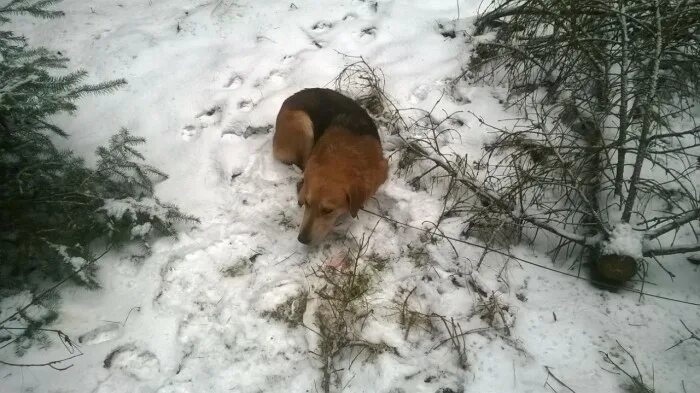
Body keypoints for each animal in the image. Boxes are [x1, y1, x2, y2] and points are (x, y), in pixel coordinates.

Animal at [272, 87, 388, 243]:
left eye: (328, 210)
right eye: (307, 203)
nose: (302, 239)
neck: (346, 153)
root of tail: (289, 99)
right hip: (303, 123)